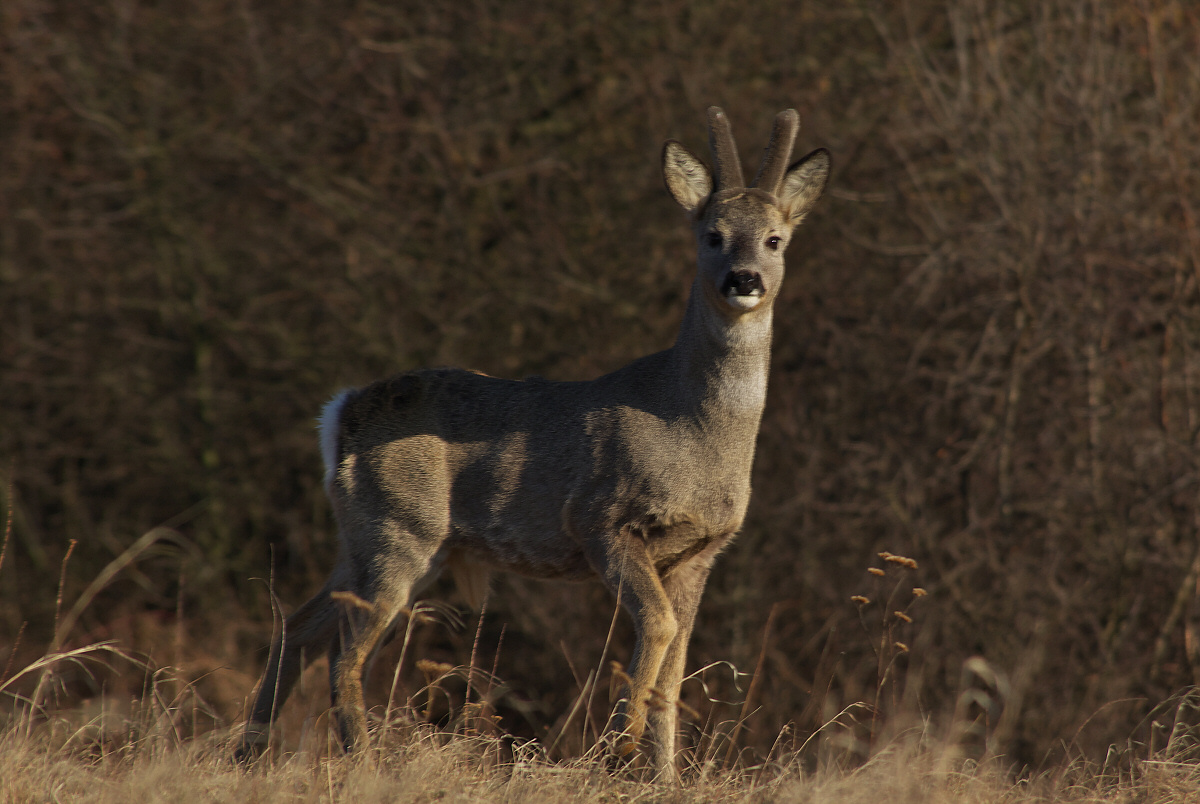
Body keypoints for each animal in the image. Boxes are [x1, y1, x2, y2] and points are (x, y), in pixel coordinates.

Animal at [238, 106, 830, 782]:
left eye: (776, 239)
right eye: (712, 235)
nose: (744, 279)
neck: (689, 428)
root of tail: (341, 412)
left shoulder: (700, 552)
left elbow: (677, 666)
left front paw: (664, 777)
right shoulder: (601, 519)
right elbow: (657, 628)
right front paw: (618, 750)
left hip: (378, 538)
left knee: (299, 628)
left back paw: (249, 754)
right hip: (398, 531)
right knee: (344, 655)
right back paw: (362, 764)